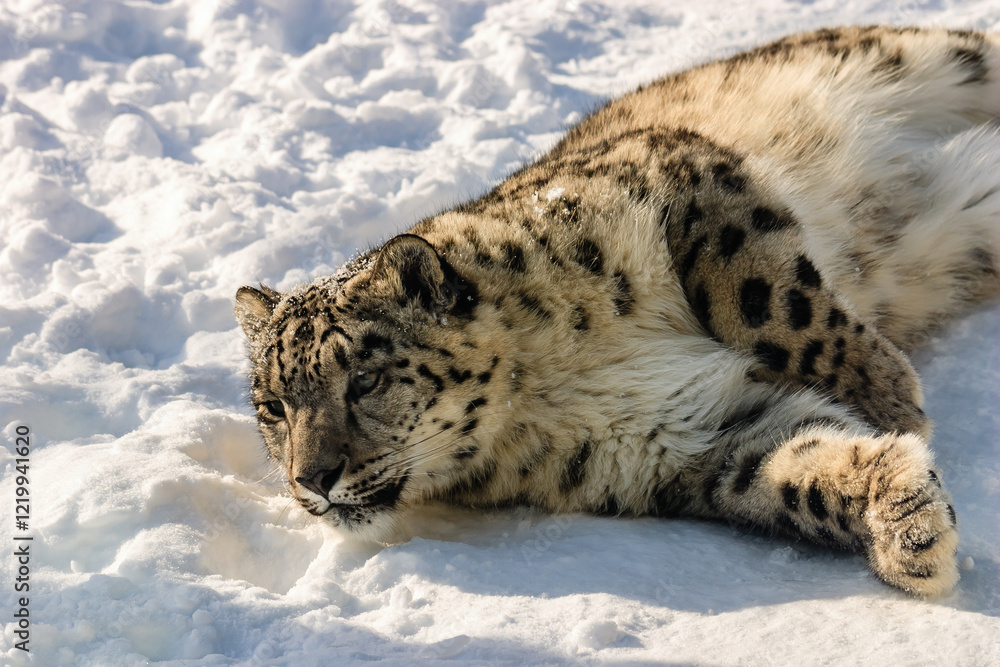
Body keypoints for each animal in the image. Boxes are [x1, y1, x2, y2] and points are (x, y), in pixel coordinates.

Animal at [235, 26, 1000, 597]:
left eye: (364, 379)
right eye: (272, 407)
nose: (311, 479)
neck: (545, 385)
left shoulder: (677, 174)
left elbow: (770, 305)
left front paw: (892, 397)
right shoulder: (693, 440)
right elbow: (798, 466)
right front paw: (909, 526)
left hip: (937, 55)